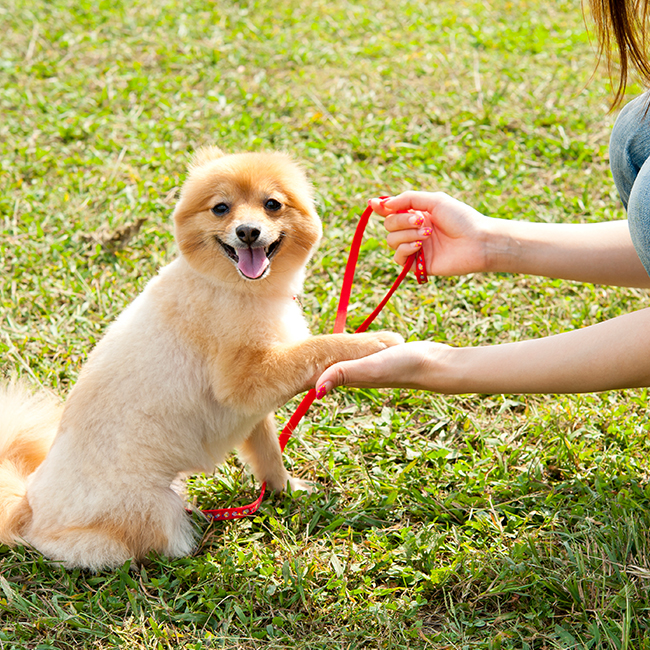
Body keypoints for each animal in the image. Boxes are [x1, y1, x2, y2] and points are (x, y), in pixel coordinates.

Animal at [0, 148, 402, 568]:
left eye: (272, 204)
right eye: (221, 208)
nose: (247, 231)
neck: (233, 287)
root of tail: (27, 506)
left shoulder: (252, 408)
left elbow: (268, 453)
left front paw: (285, 489)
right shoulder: (242, 381)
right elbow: (318, 347)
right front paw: (372, 341)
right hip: (153, 509)